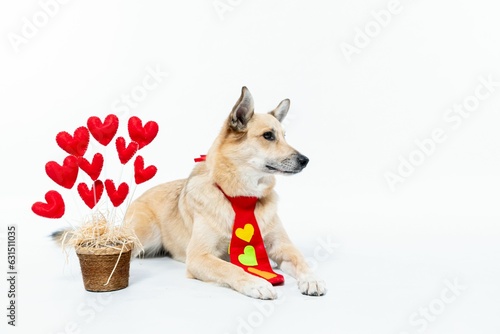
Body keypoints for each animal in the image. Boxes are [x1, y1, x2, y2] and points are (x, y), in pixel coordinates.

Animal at [126, 87, 324, 300]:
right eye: (268, 136)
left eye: (284, 136)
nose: (305, 160)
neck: (241, 196)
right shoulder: (199, 256)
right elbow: (231, 268)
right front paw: (256, 282)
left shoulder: (282, 246)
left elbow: (301, 260)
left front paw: (311, 278)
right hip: (143, 234)